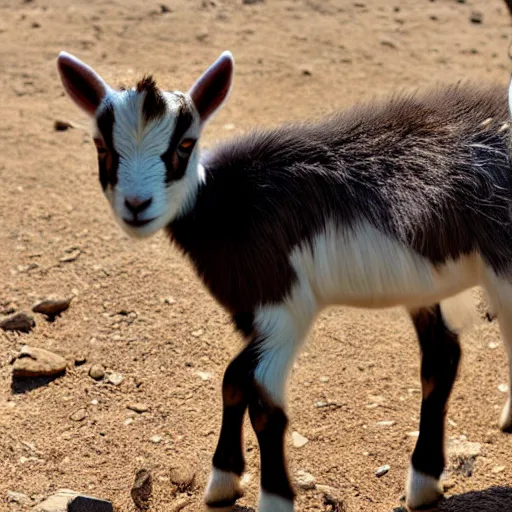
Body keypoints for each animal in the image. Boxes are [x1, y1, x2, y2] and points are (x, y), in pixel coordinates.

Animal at [56, 50, 512, 510]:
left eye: (184, 145)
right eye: (101, 145)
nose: (137, 205)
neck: (227, 206)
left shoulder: (284, 309)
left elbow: (265, 407)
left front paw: (274, 497)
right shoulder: (255, 315)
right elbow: (233, 380)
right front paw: (223, 480)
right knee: (443, 358)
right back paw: (425, 481)